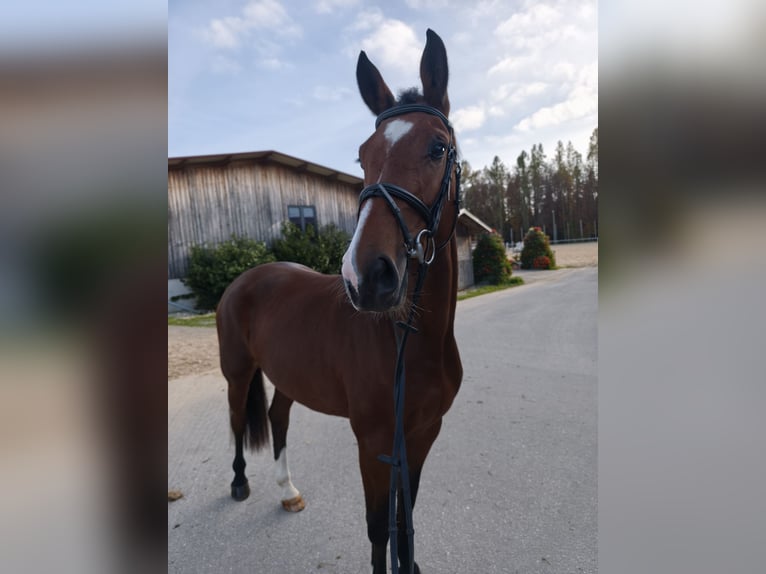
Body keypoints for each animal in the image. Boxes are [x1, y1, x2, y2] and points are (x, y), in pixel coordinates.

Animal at [219, 30, 464, 574]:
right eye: (361, 155)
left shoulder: (422, 434)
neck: (409, 340)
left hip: (286, 374)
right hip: (238, 371)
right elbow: (378, 529)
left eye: (438, 147)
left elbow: (405, 521)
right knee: (237, 420)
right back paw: (240, 482)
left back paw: (287, 490)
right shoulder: (373, 442)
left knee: (278, 417)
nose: (366, 277)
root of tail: (248, 277)